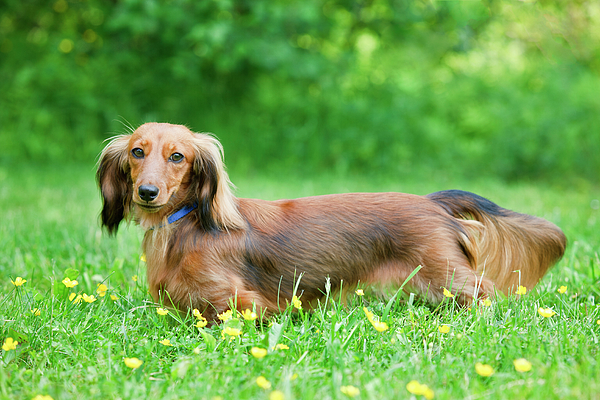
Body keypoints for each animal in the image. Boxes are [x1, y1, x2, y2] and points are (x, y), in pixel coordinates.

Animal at [96, 122, 564, 322]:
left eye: (178, 156)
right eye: (137, 152)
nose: (147, 193)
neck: (188, 223)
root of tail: (433, 202)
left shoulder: (240, 301)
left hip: (445, 274)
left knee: (484, 293)